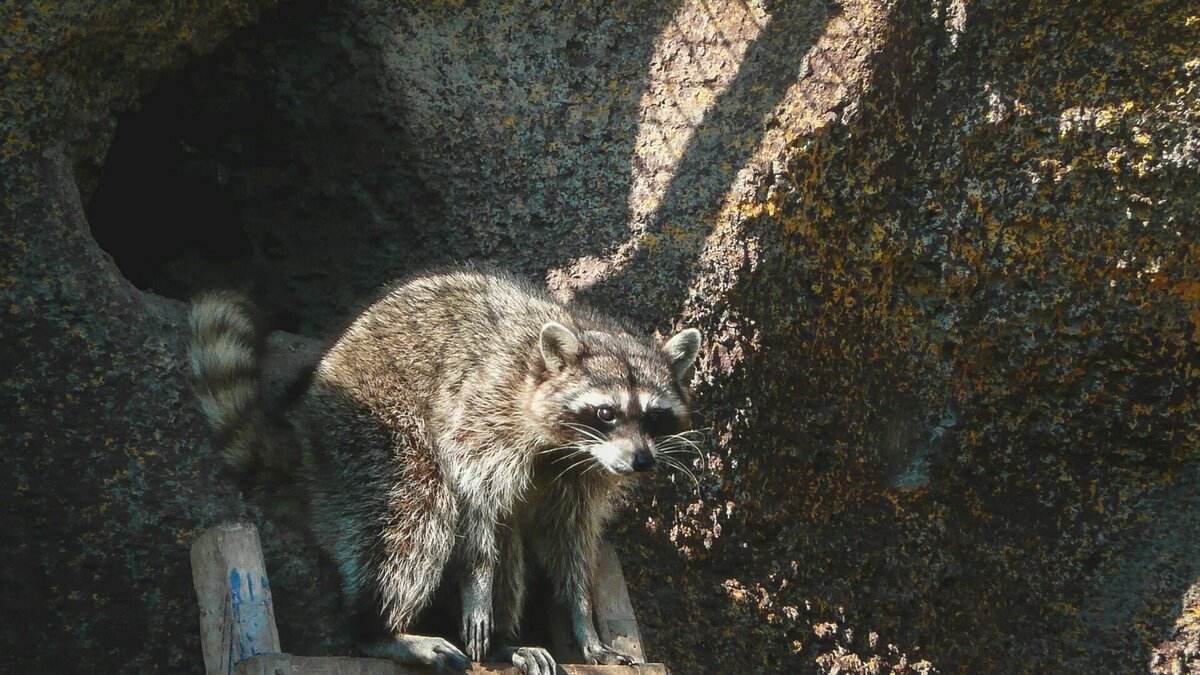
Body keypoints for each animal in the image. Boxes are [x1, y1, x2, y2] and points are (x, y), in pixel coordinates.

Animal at [187, 267, 700, 672]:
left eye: (655, 417)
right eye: (606, 413)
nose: (641, 461)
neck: (565, 445)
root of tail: (302, 428)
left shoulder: (582, 477)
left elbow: (568, 542)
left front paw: (581, 620)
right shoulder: (484, 410)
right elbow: (473, 503)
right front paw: (477, 587)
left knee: (505, 539)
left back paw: (505, 642)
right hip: (365, 435)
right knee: (419, 512)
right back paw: (380, 629)